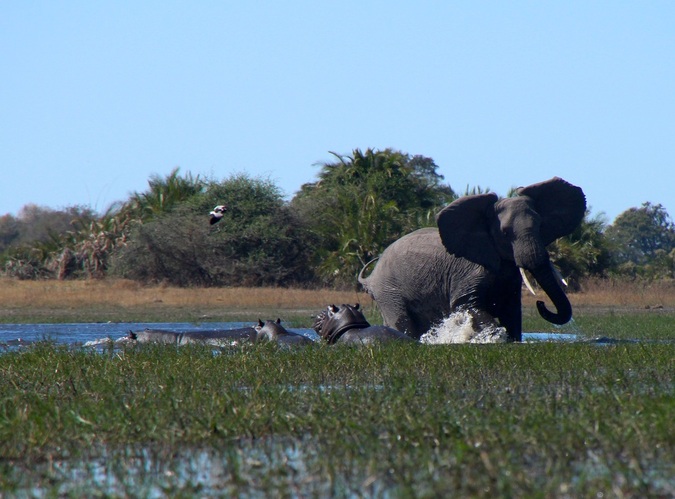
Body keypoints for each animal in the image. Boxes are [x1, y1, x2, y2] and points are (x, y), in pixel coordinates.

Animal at [360, 177, 588, 344]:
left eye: (540, 226)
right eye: (505, 233)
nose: (541, 303)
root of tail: (370, 277)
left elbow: (512, 311)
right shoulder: (470, 271)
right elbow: (468, 305)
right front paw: (495, 338)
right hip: (388, 291)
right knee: (402, 322)